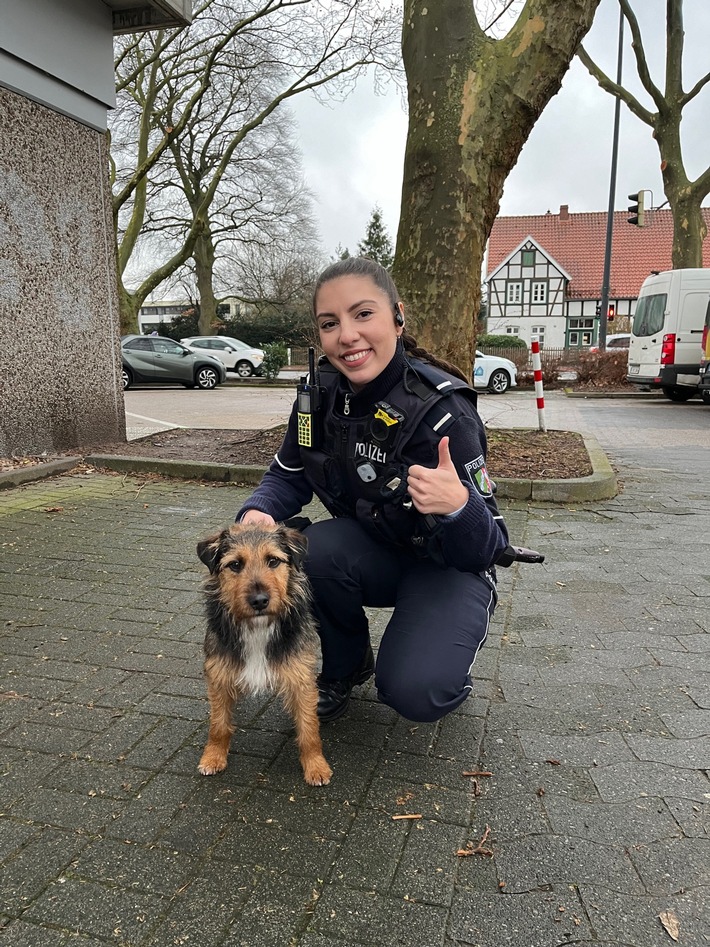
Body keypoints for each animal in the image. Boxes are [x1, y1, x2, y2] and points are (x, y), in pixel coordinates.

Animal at [196, 524, 332, 788]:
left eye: (273, 561)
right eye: (235, 564)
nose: (259, 601)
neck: (257, 628)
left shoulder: (302, 679)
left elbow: (309, 728)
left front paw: (316, 766)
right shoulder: (219, 676)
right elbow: (218, 724)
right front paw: (213, 756)